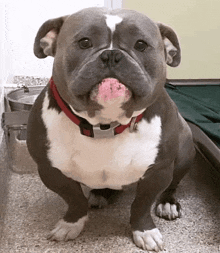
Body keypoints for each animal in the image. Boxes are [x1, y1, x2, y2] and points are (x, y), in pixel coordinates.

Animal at [26, 6, 195, 252]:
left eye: (141, 45)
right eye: (84, 42)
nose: (112, 55)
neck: (104, 124)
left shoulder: (158, 171)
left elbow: (141, 205)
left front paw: (144, 231)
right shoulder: (51, 171)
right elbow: (74, 199)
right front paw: (71, 223)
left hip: (184, 151)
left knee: (173, 185)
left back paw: (167, 203)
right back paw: (100, 194)